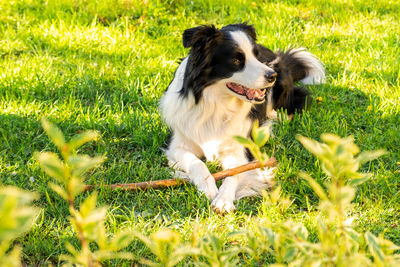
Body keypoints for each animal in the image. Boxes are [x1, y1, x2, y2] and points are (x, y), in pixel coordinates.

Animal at [159, 23, 324, 214]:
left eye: (256, 56)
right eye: (236, 60)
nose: (271, 76)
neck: (216, 105)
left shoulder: (241, 149)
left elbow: (234, 172)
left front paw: (223, 199)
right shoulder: (177, 145)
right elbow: (196, 163)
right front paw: (208, 188)